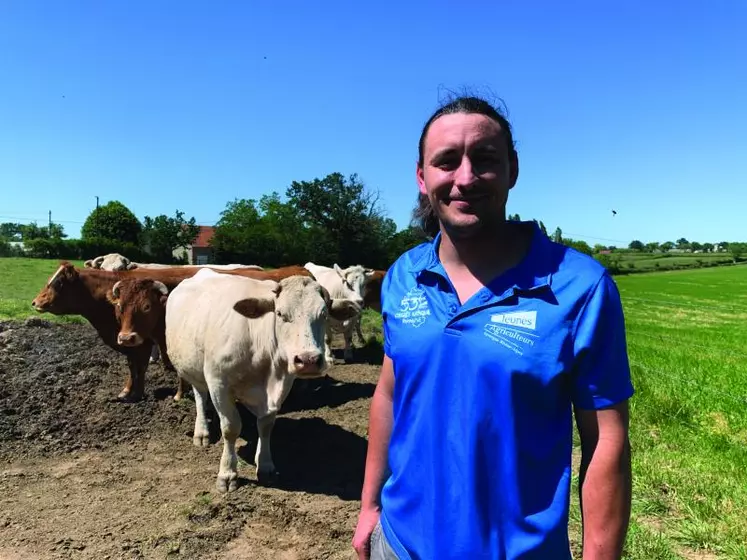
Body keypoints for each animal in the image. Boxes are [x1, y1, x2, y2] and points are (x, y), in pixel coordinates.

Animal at [164, 266, 362, 490]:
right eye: (280, 313)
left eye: (324, 314)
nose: (308, 360)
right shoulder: (218, 383)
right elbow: (230, 427)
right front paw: (227, 473)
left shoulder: (281, 387)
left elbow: (266, 426)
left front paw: (265, 465)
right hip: (193, 369)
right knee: (200, 396)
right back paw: (202, 431)